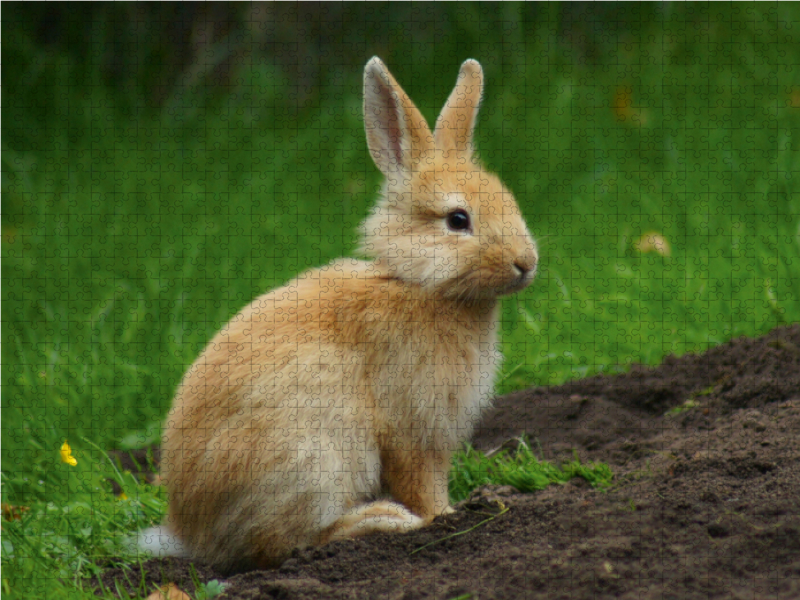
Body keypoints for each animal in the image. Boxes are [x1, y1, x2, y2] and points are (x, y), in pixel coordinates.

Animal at [158, 58, 536, 576]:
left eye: (508, 198)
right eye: (458, 220)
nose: (527, 263)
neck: (418, 283)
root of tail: (192, 537)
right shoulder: (411, 425)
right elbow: (421, 483)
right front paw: (444, 518)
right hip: (311, 460)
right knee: (282, 545)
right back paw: (380, 521)